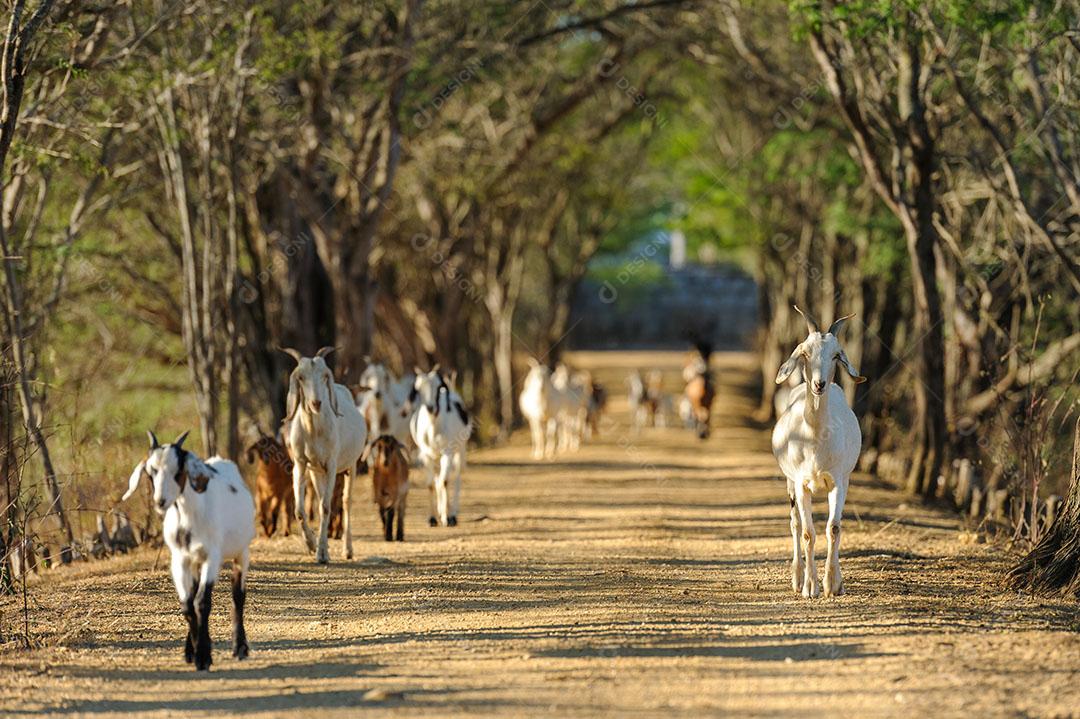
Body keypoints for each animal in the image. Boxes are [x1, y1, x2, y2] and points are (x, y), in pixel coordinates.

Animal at [123, 430, 255, 670]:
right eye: (151, 471)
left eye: (178, 470)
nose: (161, 501)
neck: (189, 518)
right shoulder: (180, 560)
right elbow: (187, 604)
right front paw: (195, 651)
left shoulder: (212, 557)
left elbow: (202, 602)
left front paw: (204, 656)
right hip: (195, 562)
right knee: (193, 593)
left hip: (241, 551)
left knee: (238, 596)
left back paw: (240, 647)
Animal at [281, 347, 367, 563]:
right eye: (301, 377)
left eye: (324, 376)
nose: (316, 403)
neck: (314, 430)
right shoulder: (301, 464)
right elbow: (300, 510)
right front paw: (312, 545)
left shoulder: (331, 465)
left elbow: (327, 507)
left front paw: (322, 554)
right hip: (315, 471)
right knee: (321, 499)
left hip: (351, 466)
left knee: (346, 502)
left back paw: (347, 549)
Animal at [410, 367, 471, 527]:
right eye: (418, 389)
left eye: (438, 388)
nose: (431, 408)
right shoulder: (425, 455)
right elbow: (431, 484)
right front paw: (432, 518)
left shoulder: (447, 453)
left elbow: (445, 481)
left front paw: (447, 517)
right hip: (435, 457)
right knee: (438, 479)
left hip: (459, 451)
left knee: (456, 477)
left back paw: (452, 513)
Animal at [772, 306, 865, 598]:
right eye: (804, 353)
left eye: (836, 355)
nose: (819, 384)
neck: (815, 440)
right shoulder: (801, 483)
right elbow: (807, 533)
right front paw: (810, 587)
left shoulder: (838, 481)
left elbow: (833, 528)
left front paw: (832, 584)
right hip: (789, 483)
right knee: (795, 524)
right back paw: (797, 578)